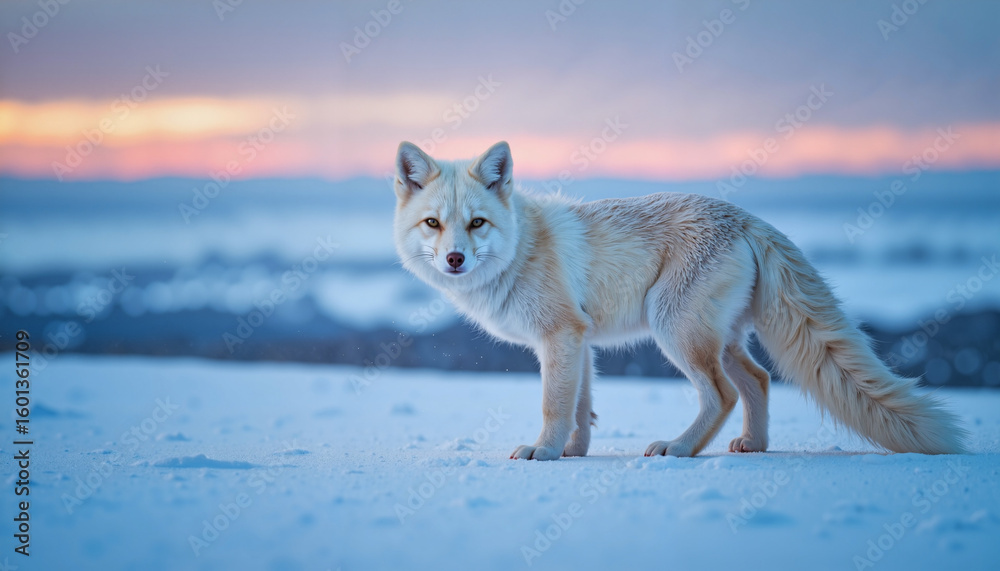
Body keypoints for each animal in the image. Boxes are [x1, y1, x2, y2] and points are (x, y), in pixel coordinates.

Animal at [392, 140, 967, 460]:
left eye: (477, 223)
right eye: (433, 224)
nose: (455, 259)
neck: (522, 246)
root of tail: (748, 218)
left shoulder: (561, 336)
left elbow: (555, 405)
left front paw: (545, 452)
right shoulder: (581, 343)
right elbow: (582, 409)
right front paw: (573, 454)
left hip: (674, 330)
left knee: (723, 394)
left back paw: (681, 448)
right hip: (717, 338)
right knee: (758, 380)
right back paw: (753, 445)